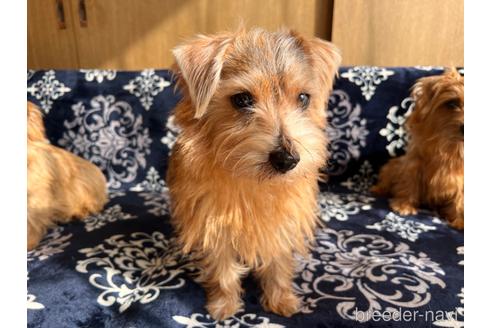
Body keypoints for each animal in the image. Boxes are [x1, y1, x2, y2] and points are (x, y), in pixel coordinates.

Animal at [167, 28, 340, 320]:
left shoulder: (282, 223)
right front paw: (223, 305)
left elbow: (278, 264)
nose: (287, 159)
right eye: (243, 99)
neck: (255, 183)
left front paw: (281, 300)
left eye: (303, 98)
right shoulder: (213, 223)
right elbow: (223, 269)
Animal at [372, 68, 466, 229]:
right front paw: (403, 205)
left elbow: (461, 199)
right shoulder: (414, 163)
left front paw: (460, 220)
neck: (452, 146)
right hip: (393, 165)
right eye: (452, 103)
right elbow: (410, 183)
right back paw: (378, 189)